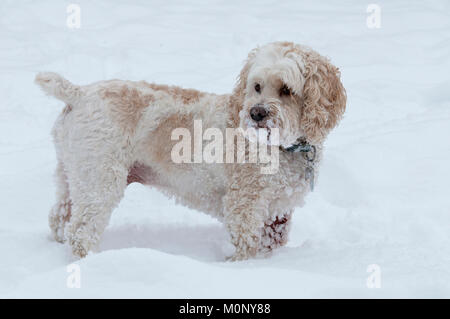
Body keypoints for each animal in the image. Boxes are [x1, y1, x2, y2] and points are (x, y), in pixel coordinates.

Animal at [35, 42, 346, 260]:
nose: (256, 113)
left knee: (59, 216)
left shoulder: (277, 212)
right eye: (257, 86)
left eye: (286, 90)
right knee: (81, 232)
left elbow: (271, 241)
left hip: (72, 175)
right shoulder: (244, 205)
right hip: (100, 180)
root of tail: (79, 93)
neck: (282, 146)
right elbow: (246, 244)